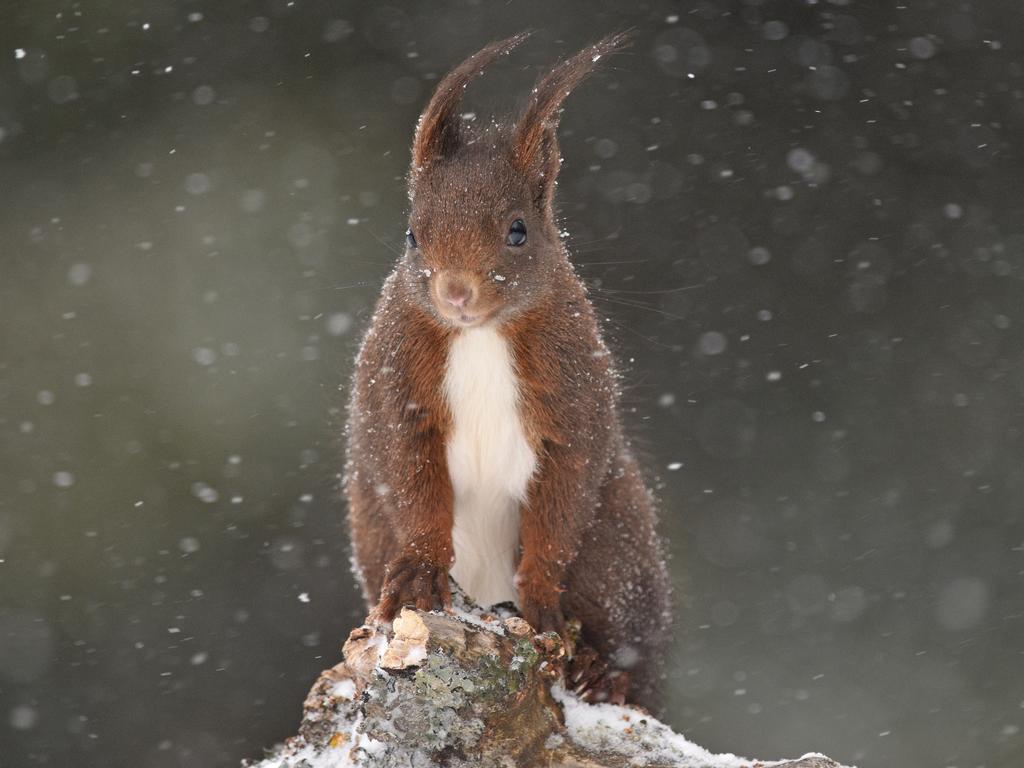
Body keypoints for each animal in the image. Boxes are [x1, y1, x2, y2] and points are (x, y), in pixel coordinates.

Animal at [344, 34, 671, 708]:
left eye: (518, 230)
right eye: (411, 234)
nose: (456, 292)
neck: (480, 337)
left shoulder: (575, 394)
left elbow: (563, 495)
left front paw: (541, 598)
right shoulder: (393, 388)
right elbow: (410, 479)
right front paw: (418, 572)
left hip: (616, 551)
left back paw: (604, 671)